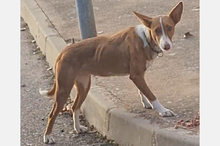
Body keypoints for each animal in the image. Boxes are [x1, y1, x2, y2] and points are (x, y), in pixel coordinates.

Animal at [39, 1, 182, 144]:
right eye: (156, 30)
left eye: (169, 28)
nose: (166, 46)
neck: (146, 38)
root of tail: (63, 51)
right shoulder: (136, 75)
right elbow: (152, 95)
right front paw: (163, 110)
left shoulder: (139, 75)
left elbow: (142, 91)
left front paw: (145, 103)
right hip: (64, 88)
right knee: (52, 114)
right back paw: (48, 136)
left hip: (84, 86)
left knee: (75, 107)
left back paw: (78, 128)